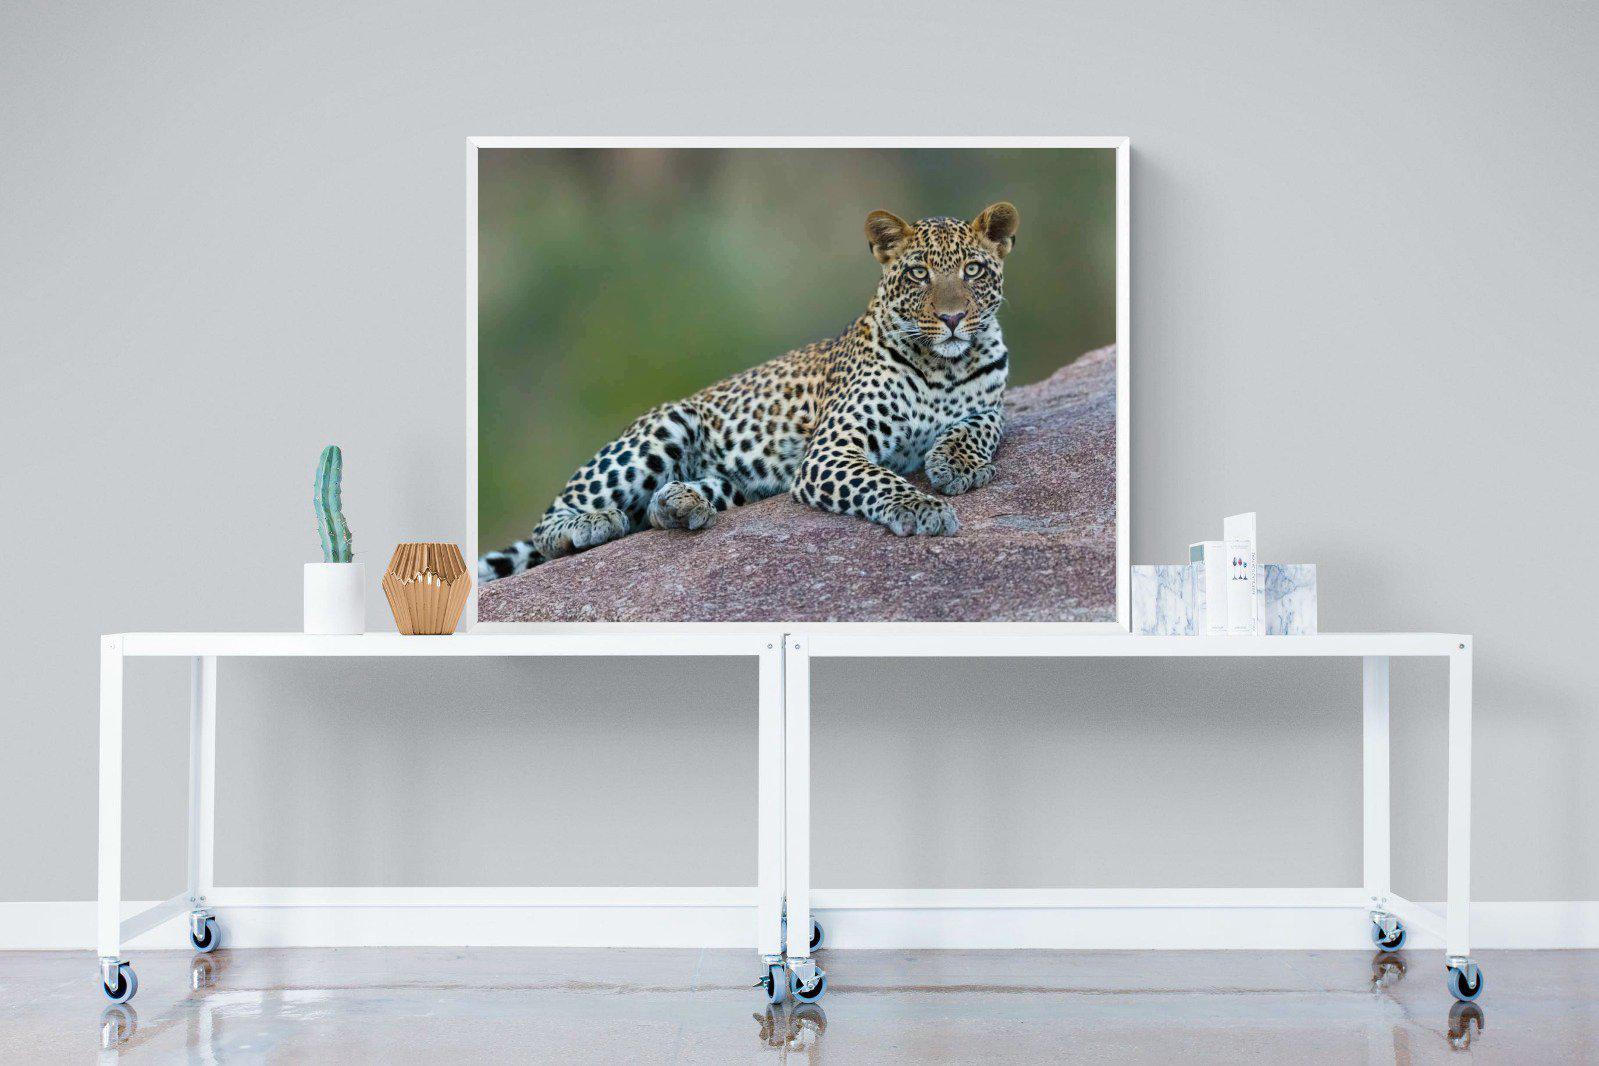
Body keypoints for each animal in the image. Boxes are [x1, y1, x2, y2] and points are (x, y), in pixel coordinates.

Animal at [478, 201, 1019, 584]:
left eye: (972, 270)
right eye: (918, 273)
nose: (952, 318)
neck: (944, 365)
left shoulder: (991, 405)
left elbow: (979, 427)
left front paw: (957, 465)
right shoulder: (831, 451)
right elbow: (881, 480)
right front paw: (923, 508)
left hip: (739, 481)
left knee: (658, 507)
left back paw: (680, 504)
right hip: (664, 427)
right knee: (551, 523)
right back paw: (590, 524)